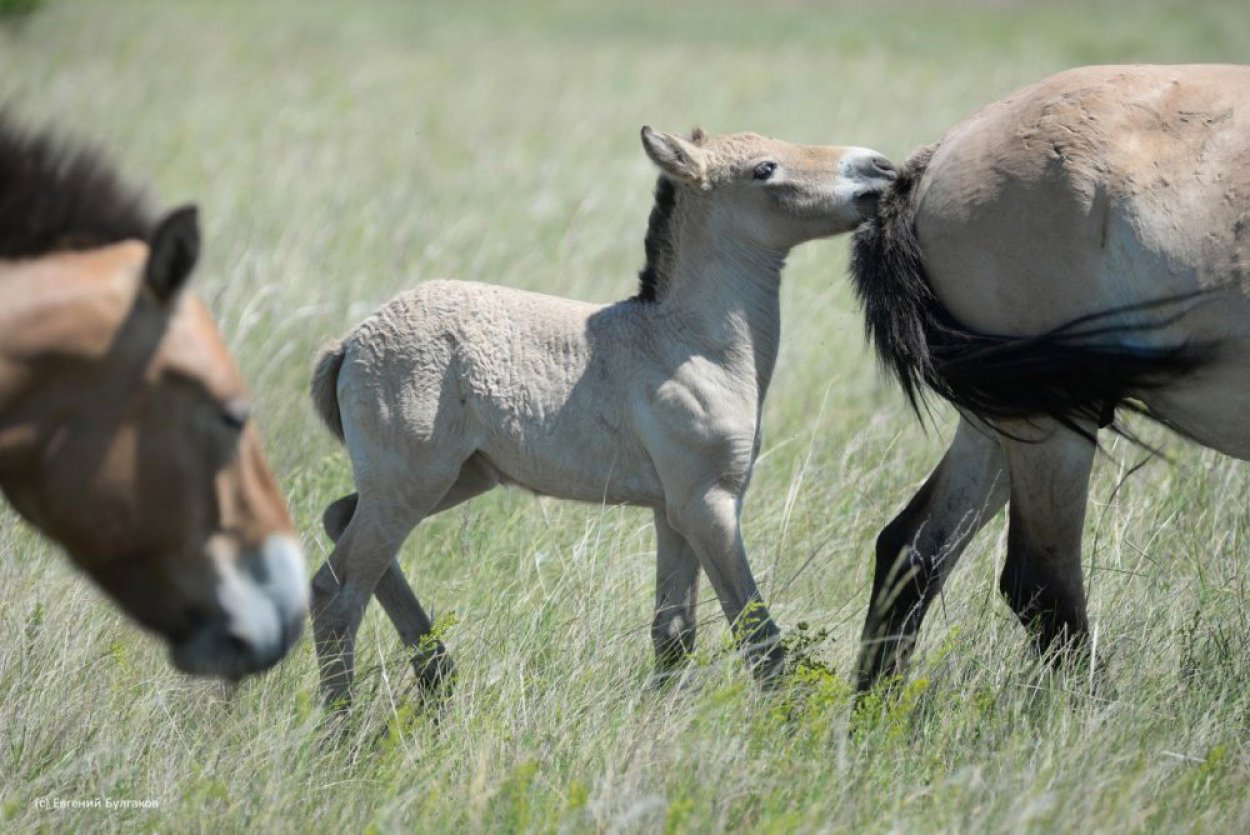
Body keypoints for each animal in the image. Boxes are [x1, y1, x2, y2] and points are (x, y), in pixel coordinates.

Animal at [310, 127, 900, 710]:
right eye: (764, 169)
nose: (882, 167)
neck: (688, 343)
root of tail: (351, 341)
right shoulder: (708, 503)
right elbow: (755, 627)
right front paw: (788, 717)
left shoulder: (671, 511)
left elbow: (674, 634)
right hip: (411, 483)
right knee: (336, 592)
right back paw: (345, 723)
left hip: (457, 476)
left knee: (340, 519)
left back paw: (438, 677)